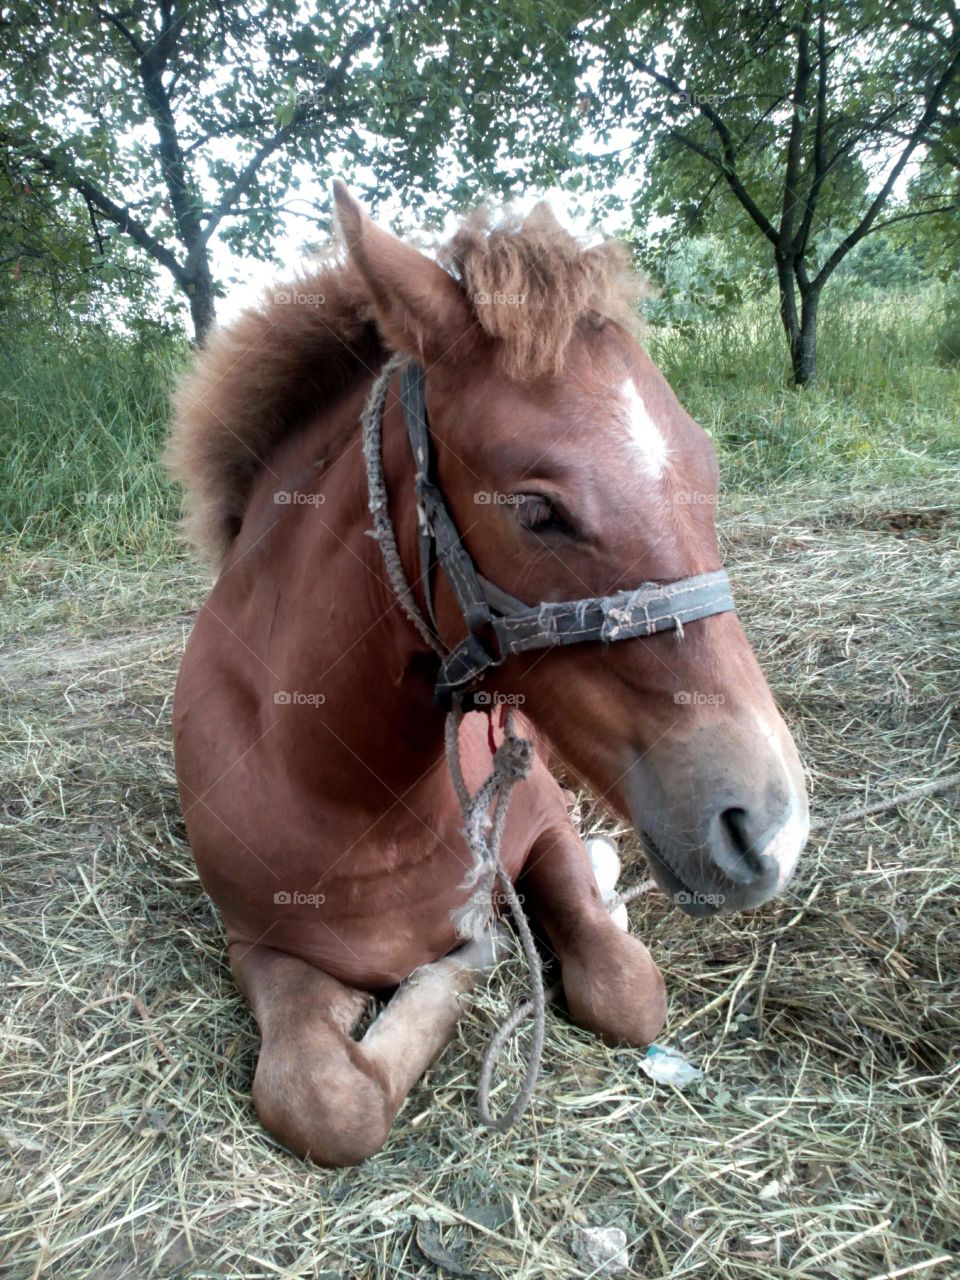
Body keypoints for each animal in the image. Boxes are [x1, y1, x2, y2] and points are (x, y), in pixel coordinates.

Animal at [168, 183, 808, 1172]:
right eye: (538, 512)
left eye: (706, 470)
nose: (770, 828)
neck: (339, 789)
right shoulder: (257, 943)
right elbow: (327, 1102)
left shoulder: (539, 823)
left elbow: (626, 988)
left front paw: (504, 939)